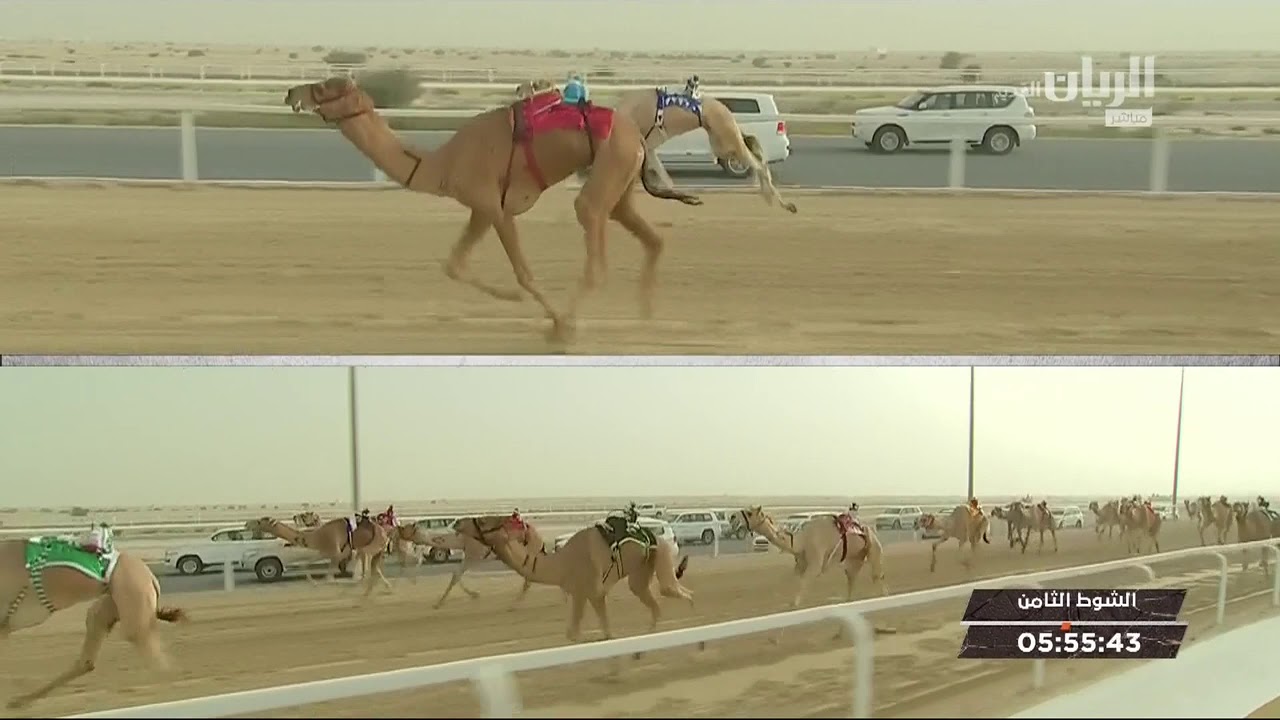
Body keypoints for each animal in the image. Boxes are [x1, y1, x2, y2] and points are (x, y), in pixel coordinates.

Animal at [0, 534, 186, 709]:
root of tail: (151, 578)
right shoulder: (4, 628)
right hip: (108, 606)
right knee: (87, 661)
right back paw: (19, 702)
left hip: (133, 605)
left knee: (159, 662)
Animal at [246, 516, 390, 597]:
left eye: (259, 522)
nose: (247, 523)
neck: (317, 536)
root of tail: (385, 533)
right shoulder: (325, 552)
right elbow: (305, 564)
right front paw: (313, 583)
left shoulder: (337, 553)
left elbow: (329, 579)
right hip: (375, 550)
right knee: (375, 569)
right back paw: (383, 589)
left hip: (371, 547)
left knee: (369, 570)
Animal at [285, 77, 702, 344]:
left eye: (323, 87)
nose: (291, 93)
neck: (441, 164)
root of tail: (637, 137)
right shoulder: (480, 209)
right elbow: (454, 265)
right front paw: (513, 300)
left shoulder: (496, 209)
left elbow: (524, 274)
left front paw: (551, 319)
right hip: (621, 184)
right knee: (651, 238)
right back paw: (646, 318)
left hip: (609, 168)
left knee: (593, 235)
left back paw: (568, 324)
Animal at [456, 514, 692, 644]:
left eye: (484, 521)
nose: (457, 522)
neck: (561, 563)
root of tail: (659, 535)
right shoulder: (584, 594)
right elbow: (579, 634)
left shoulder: (590, 592)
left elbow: (598, 633)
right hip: (643, 569)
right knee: (654, 597)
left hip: (661, 553)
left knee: (672, 591)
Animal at [730, 506, 887, 610]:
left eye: (749, 513)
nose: (732, 517)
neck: (802, 541)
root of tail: (868, 530)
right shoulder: (800, 564)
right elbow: (792, 579)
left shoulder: (815, 563)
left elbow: (804, 582)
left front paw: (795, 604)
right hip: (855, 558)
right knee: (852, 579)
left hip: (873, 549)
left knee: (877, 575)